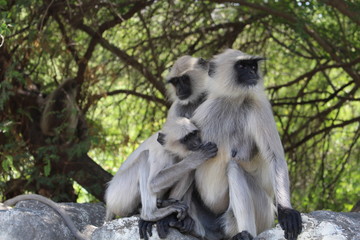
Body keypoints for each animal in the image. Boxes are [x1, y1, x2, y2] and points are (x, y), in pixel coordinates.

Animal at [105, 56, 208, 221]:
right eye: (175, 81)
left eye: (184, 79)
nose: (179, 90)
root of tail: (108, 203)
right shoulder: (177, 109)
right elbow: (154, 181)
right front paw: (196, 158)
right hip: (119, 196)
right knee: (144, 157)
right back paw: (150, 214)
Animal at [190, 49, 302, 240]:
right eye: (242, 66)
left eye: (253, 66)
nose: (252, 72)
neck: (234, 102)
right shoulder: (204, 112)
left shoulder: (259, 107)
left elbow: (275, 158)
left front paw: (287, 211)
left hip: (263, 214)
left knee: (234, 169)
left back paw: (244, 233)